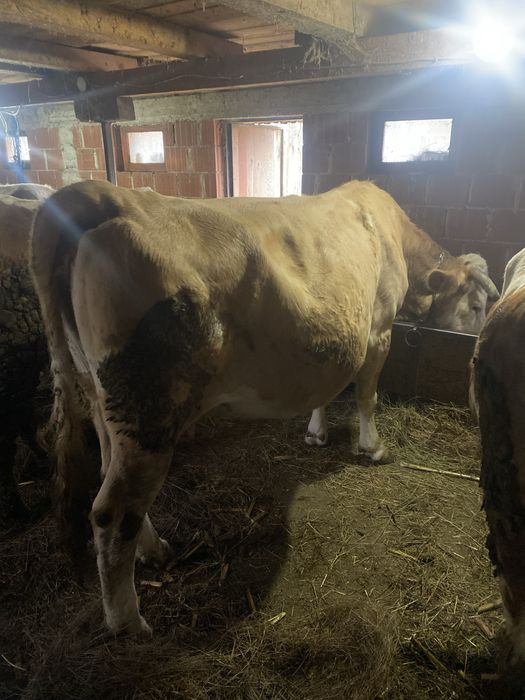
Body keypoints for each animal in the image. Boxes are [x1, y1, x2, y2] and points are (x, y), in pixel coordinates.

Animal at [31, 179, 498, 635]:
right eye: (477, 305)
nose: (474, 353)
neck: (391, 233)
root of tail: (100, 194)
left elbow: (326, 390)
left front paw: (316, 433)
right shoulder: (379, 330)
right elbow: (367, 395)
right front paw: (373, 447)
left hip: (103, 398)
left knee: (110, 475)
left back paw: (154, 551)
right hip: (149, 412)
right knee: (112, 511)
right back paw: (129, 623)